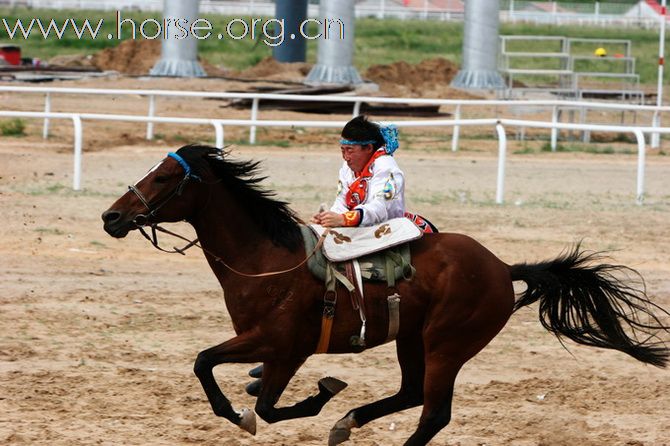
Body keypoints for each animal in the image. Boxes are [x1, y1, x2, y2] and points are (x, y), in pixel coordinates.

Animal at [101, 145, 670, 444]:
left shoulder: (283, 345)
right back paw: (348, 421)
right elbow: (224, 376)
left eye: (165, 177)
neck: (268, 260)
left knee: (433, 412)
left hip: (447, 344)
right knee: (413, 394)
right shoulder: (266, 346)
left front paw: (308, 397)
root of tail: (501, 267)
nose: (111, 216)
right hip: (410, 339)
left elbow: (246, 393)